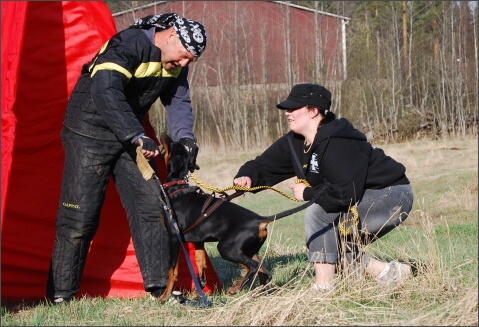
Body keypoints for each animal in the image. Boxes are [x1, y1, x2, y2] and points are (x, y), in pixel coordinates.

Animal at [155, 135, 316, 304]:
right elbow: (200, 264)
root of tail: (259, 220)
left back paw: (235, 288)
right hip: (248, 250)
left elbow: (172, 271)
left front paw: (164, 296)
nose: (164, 135)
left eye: (172, 144)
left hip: (227, 248)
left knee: (253, 267)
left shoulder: (174, 237)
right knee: (264, 272)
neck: (177, 188)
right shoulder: (198, 241)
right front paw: (200, 289)